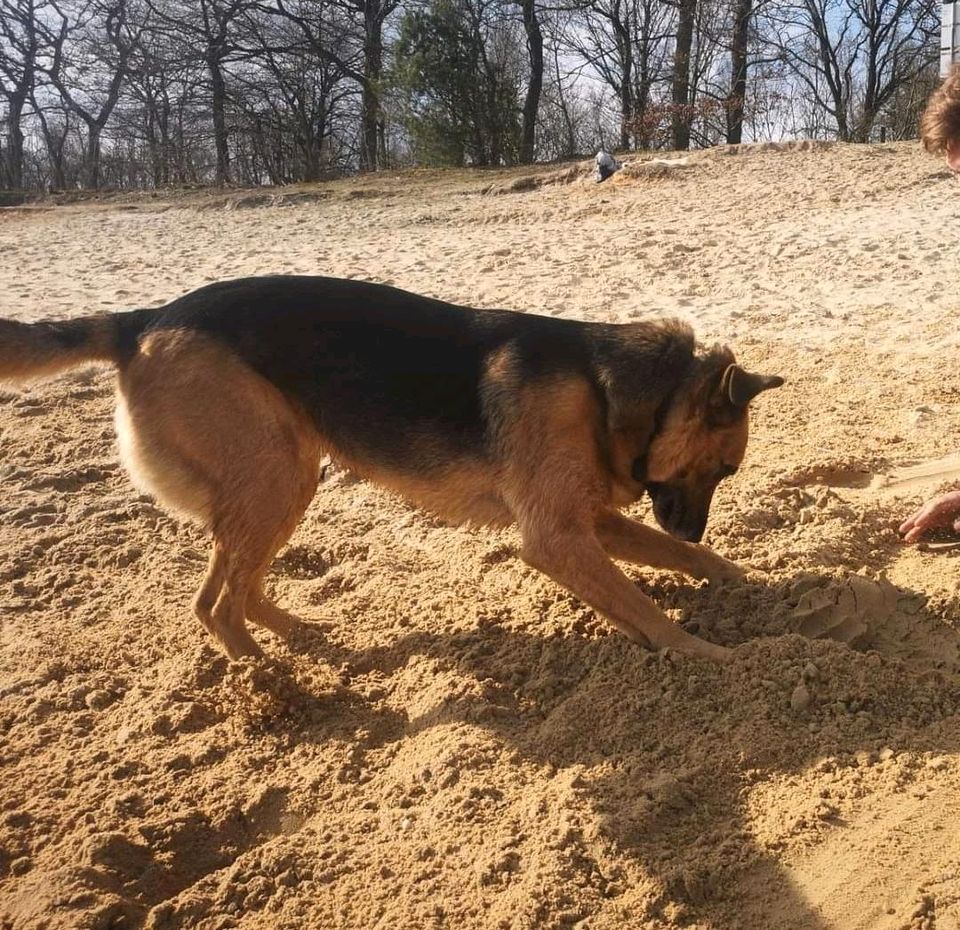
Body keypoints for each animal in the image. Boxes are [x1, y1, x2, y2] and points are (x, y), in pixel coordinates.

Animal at [0, 276, 780, 660]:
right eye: (723, 470)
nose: (693, 529)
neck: (608, 388)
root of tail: (143, 318)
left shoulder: (594, 524)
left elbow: (688, 569)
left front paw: (751, 582)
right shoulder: (558, 539)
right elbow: (643, 606)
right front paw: (702, 652)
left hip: (285, 480)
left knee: (236, 587)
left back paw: (301, 638)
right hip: (275, 476)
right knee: (216, 605)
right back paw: (276, 688)